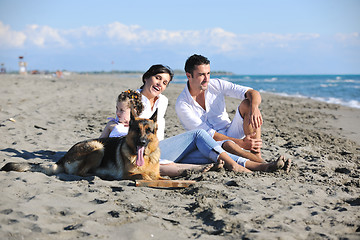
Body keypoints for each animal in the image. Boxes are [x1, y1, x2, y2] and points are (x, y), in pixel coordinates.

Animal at [0, 108, 162, 180]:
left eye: (149, 131)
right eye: (137, 130)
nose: (141, 142)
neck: (146, 158)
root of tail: (64, 157)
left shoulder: (157, 175)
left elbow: (160, 178)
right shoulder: (127, 174)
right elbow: (143, 175)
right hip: (98, 147)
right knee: (80, 173)